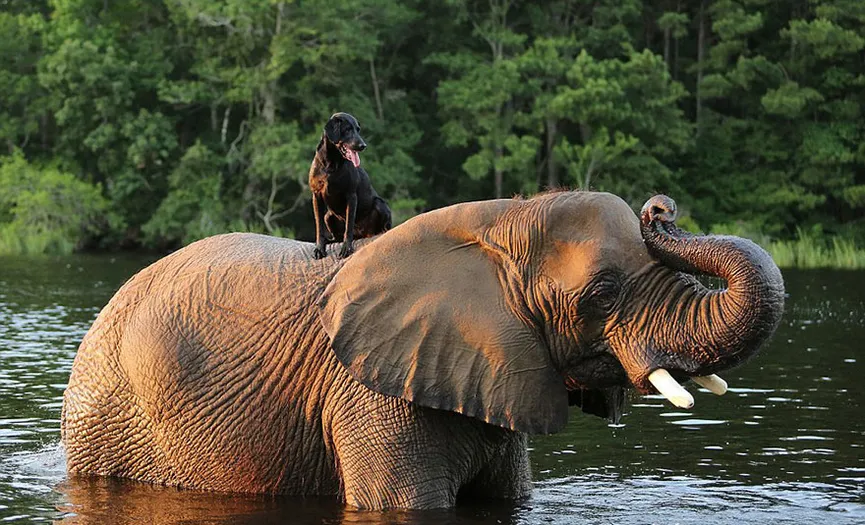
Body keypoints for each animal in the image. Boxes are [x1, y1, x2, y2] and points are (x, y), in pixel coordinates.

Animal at [308, 111, 392, 258]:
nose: (363, 145)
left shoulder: (351, 195)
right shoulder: (316, 195)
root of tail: (363, 234)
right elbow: (319, 227)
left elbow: (349, 224)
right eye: (347, 130)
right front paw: (319, 248)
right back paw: (330, 241)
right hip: (328, 216)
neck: (331, 163)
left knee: (384, 228)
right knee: (336, 237)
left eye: (358, 130)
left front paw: (346, 249)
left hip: (380, 204)